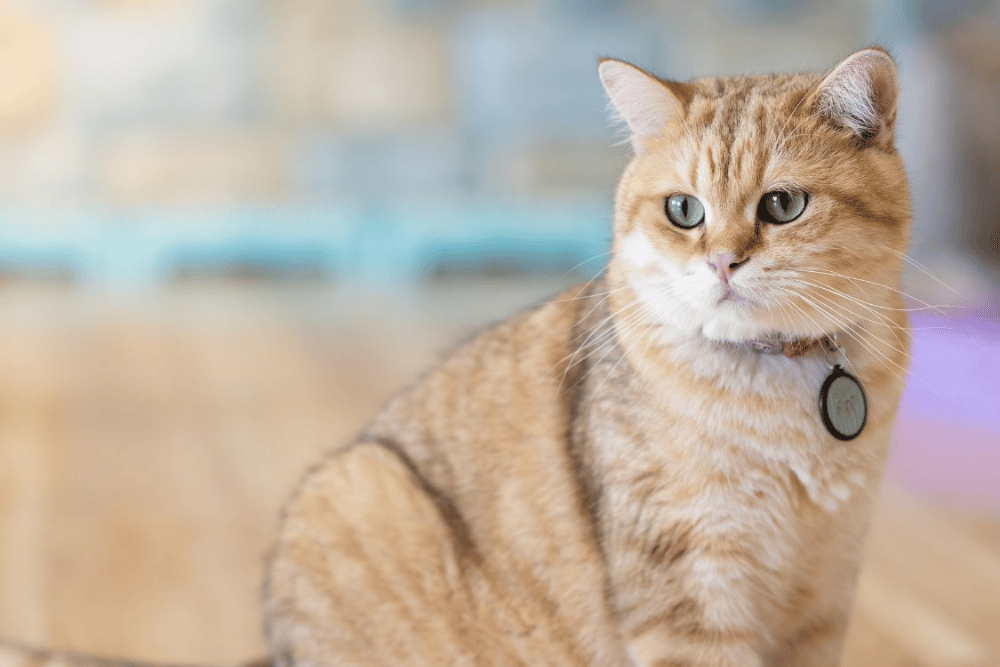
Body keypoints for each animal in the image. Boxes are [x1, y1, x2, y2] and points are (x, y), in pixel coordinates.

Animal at [0, 49, 912, 667]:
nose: (723, 261)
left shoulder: (824, 590)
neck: (784, 379)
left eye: (783, 204)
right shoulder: (687, 593)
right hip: (353, 486)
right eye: (683, 210)